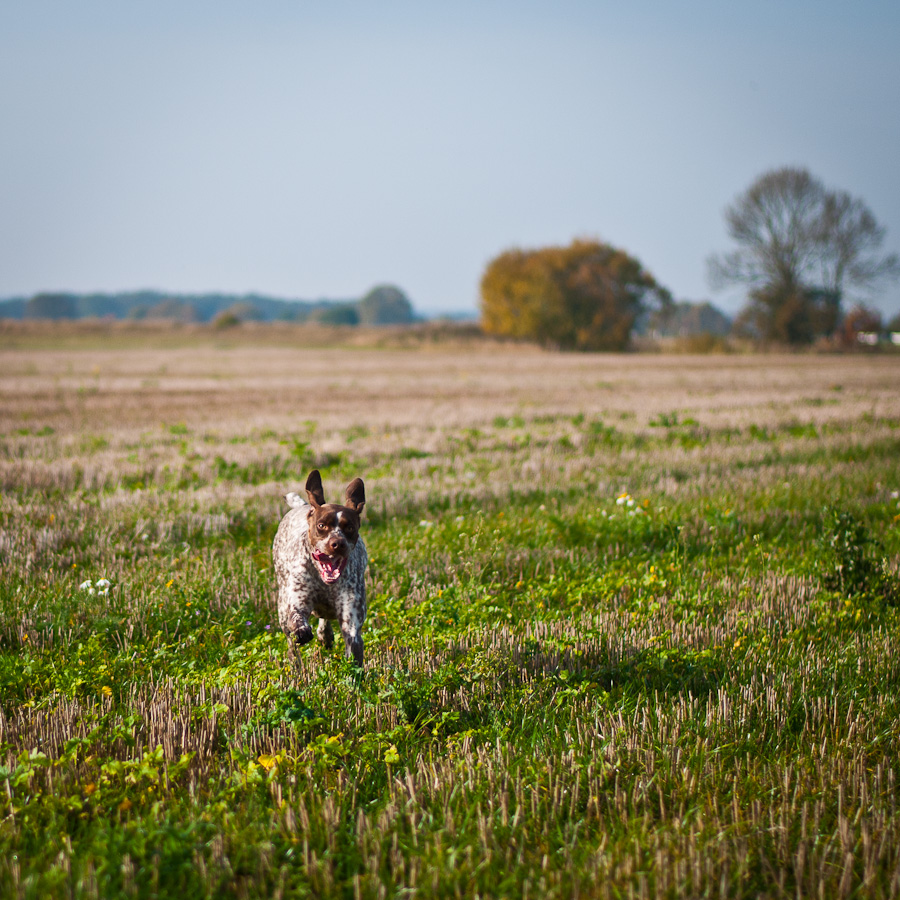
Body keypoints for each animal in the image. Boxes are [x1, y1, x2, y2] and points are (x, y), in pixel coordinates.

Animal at [276, 468, 370, 664]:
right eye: (321, 525)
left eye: (350, 528)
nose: (338, 543)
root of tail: (304, 505)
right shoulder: (298, 601)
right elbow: (297, 618)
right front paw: (302, 631)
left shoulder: (351, 621)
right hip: (282, 606)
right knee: (291, 644)